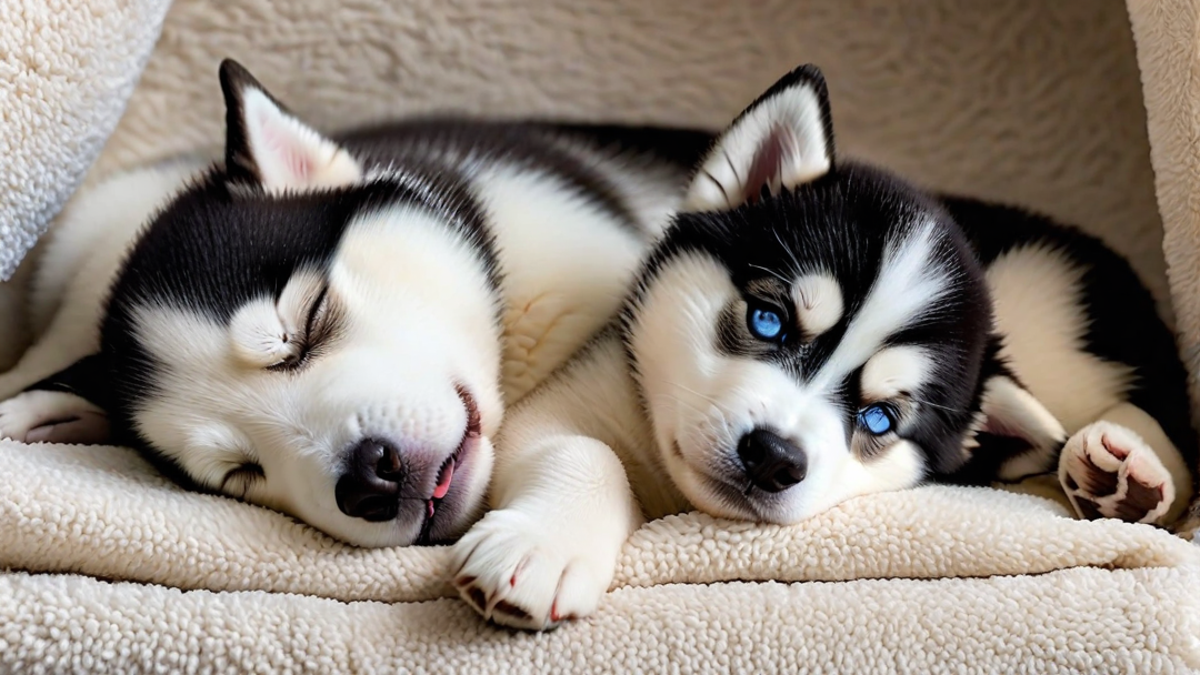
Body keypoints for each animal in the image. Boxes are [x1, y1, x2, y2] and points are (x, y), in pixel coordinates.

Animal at [451, 61, 1200, 624]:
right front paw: (545, 547)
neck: (678, 495)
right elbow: (585, 451)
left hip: (1049, 312)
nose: (774, 457)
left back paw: (1127, 469)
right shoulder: (584, 391)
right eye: (768, 321)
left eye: (880, 419)